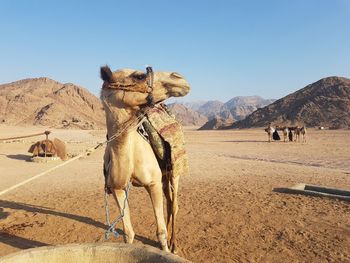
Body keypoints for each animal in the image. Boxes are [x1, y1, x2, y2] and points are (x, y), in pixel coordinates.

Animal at [100, 65, 190, 254]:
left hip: (174, 172)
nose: (179, 77)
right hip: (164, 175)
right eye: (139, 76)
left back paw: (174, 245)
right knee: (169, 201)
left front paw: (166, 249)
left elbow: (160, 232)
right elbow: (128, 233)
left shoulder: (152, 183)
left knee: (174, 205)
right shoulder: (117, 187)